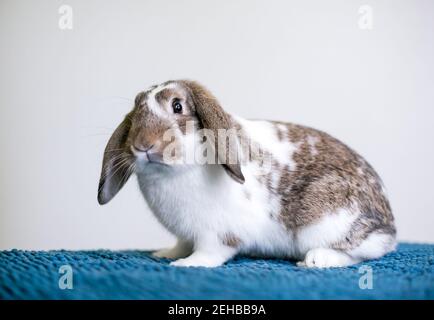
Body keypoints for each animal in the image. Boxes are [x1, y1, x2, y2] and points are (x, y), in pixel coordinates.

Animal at [97, 79, 396, 268]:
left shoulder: (217, 233)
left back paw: (317, 260)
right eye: (136, 108)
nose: (142, 145)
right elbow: (182, 243)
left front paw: (187, 264)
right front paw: (166, 254)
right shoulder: (187, 233)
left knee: (364, 252)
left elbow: (210, 252)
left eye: (177, 106)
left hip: (325, 220)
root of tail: (389, 224)